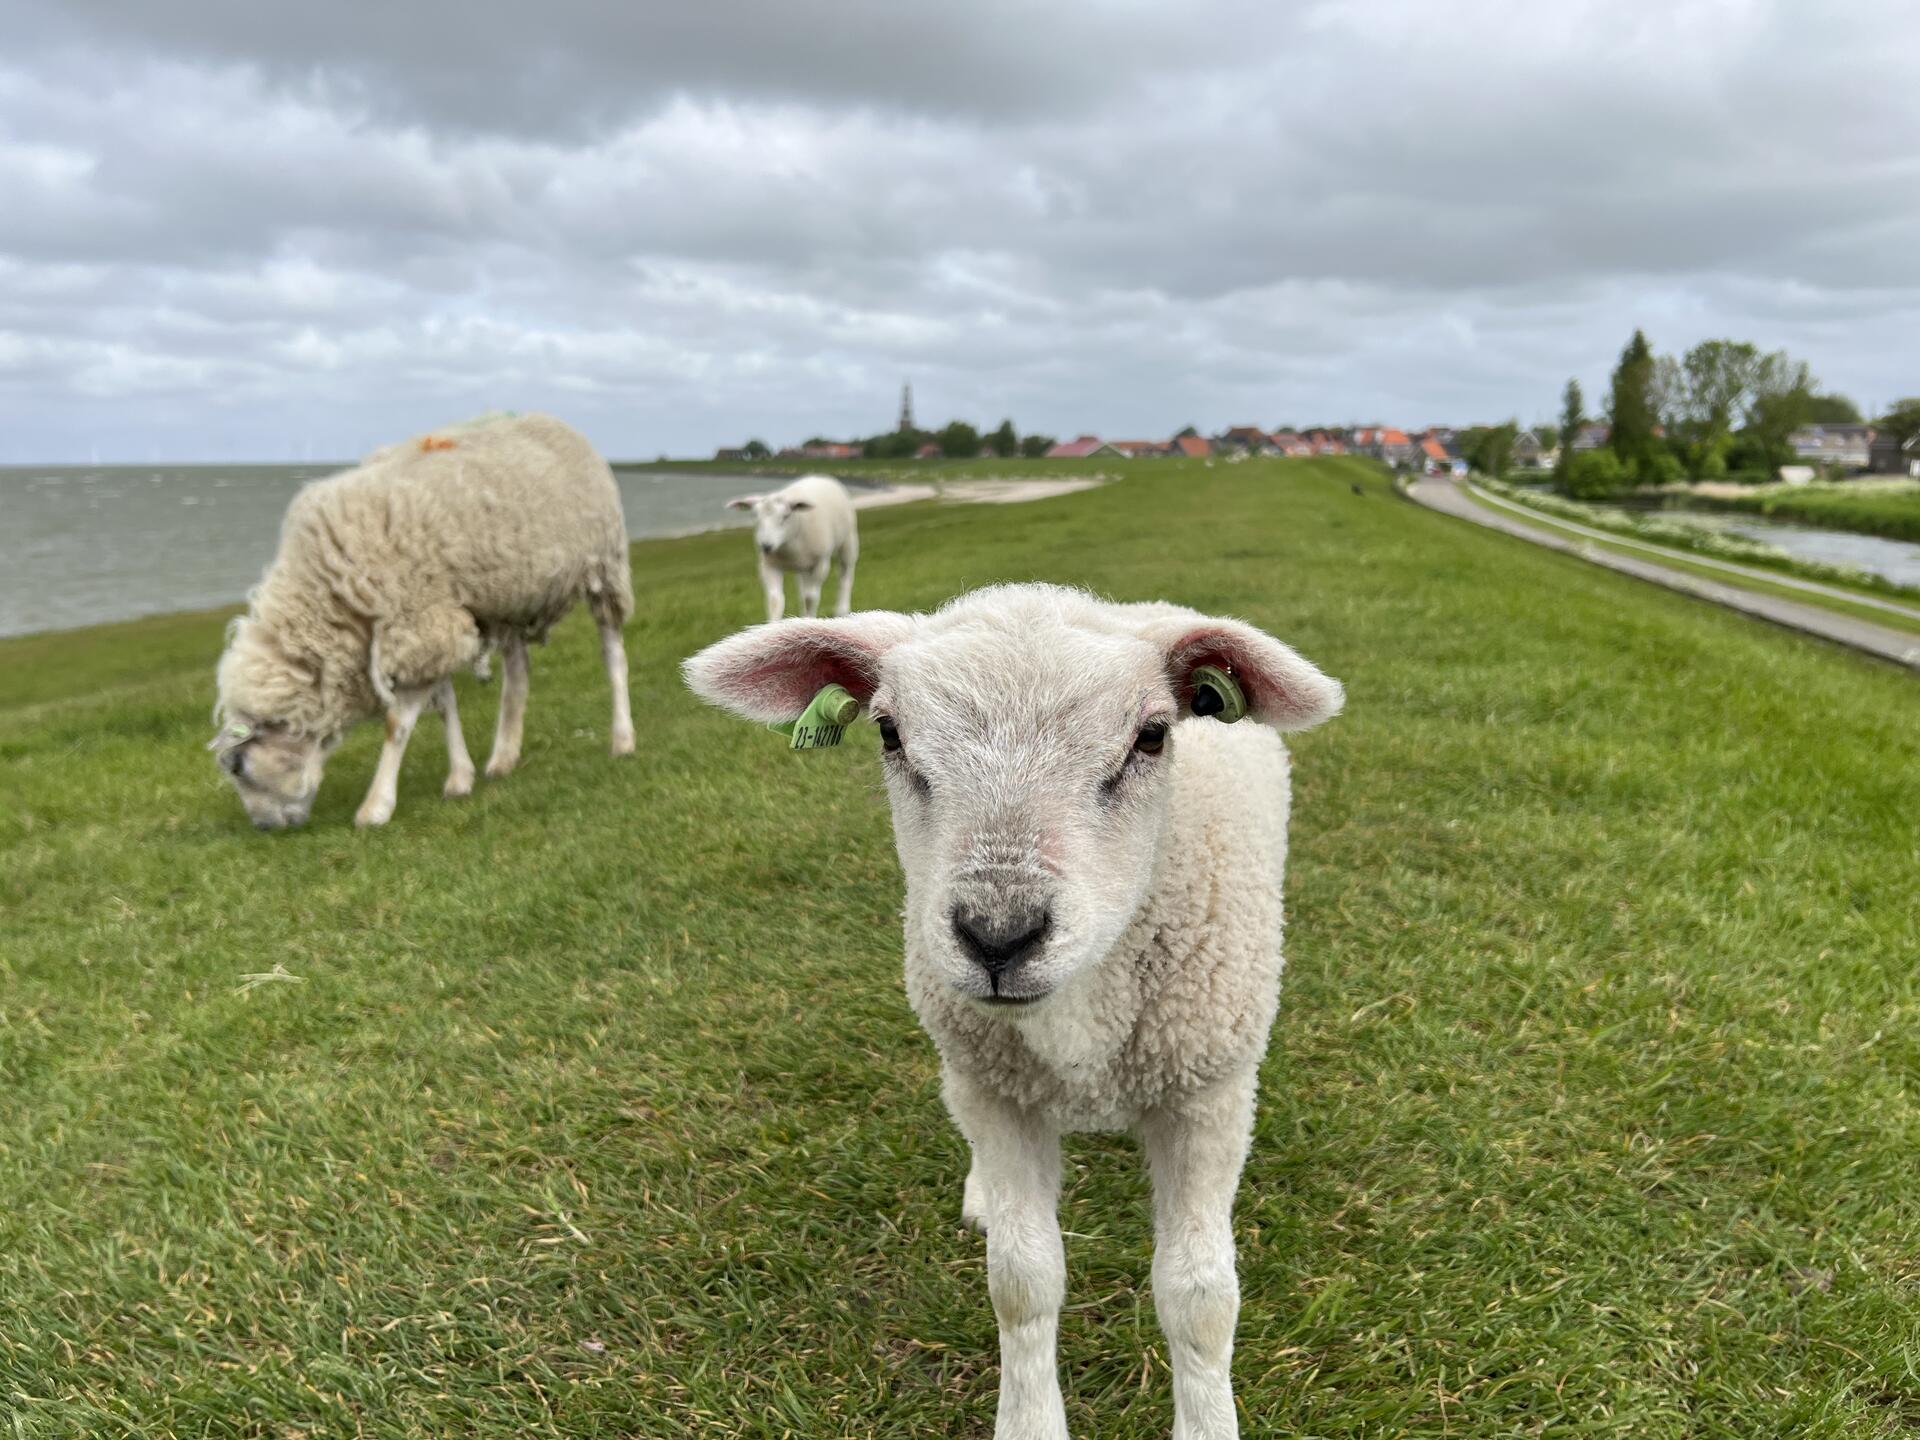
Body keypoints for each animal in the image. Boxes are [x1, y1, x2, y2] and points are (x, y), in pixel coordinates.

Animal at [213, 410, 637, 829]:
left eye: (237, 767)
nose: (263, 827)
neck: (330, 600)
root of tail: (550, 418)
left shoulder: (419, 622)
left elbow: (397, 725)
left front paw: (376, 807)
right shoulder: (427, 629)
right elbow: (445, 704)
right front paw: (460, 777)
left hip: (605, 567)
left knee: (613, 654)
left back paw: (623, 738)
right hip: (509, 596)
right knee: (518, 674)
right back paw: (503, 756)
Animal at [683, 579, 1344, 1436]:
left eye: (1152, 736)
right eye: (889, 733)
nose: (998, 935)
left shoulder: (1206, 1096)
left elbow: (1199, 1298)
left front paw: (1207, 1422)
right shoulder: (1000, 1093)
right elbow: (1022, 1282)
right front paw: (1029, 1418)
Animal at [721, 476, 860, 622]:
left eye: (786, 516)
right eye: (755, 517)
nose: (766, 546)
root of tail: (819, 476)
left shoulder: (820, 563)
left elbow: (811, 598)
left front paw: (809, 619)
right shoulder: (769, 565)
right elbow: (775, 600)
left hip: (848, 542)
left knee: (845, 577)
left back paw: (842, 610)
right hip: (802, 568)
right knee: (803, 590)